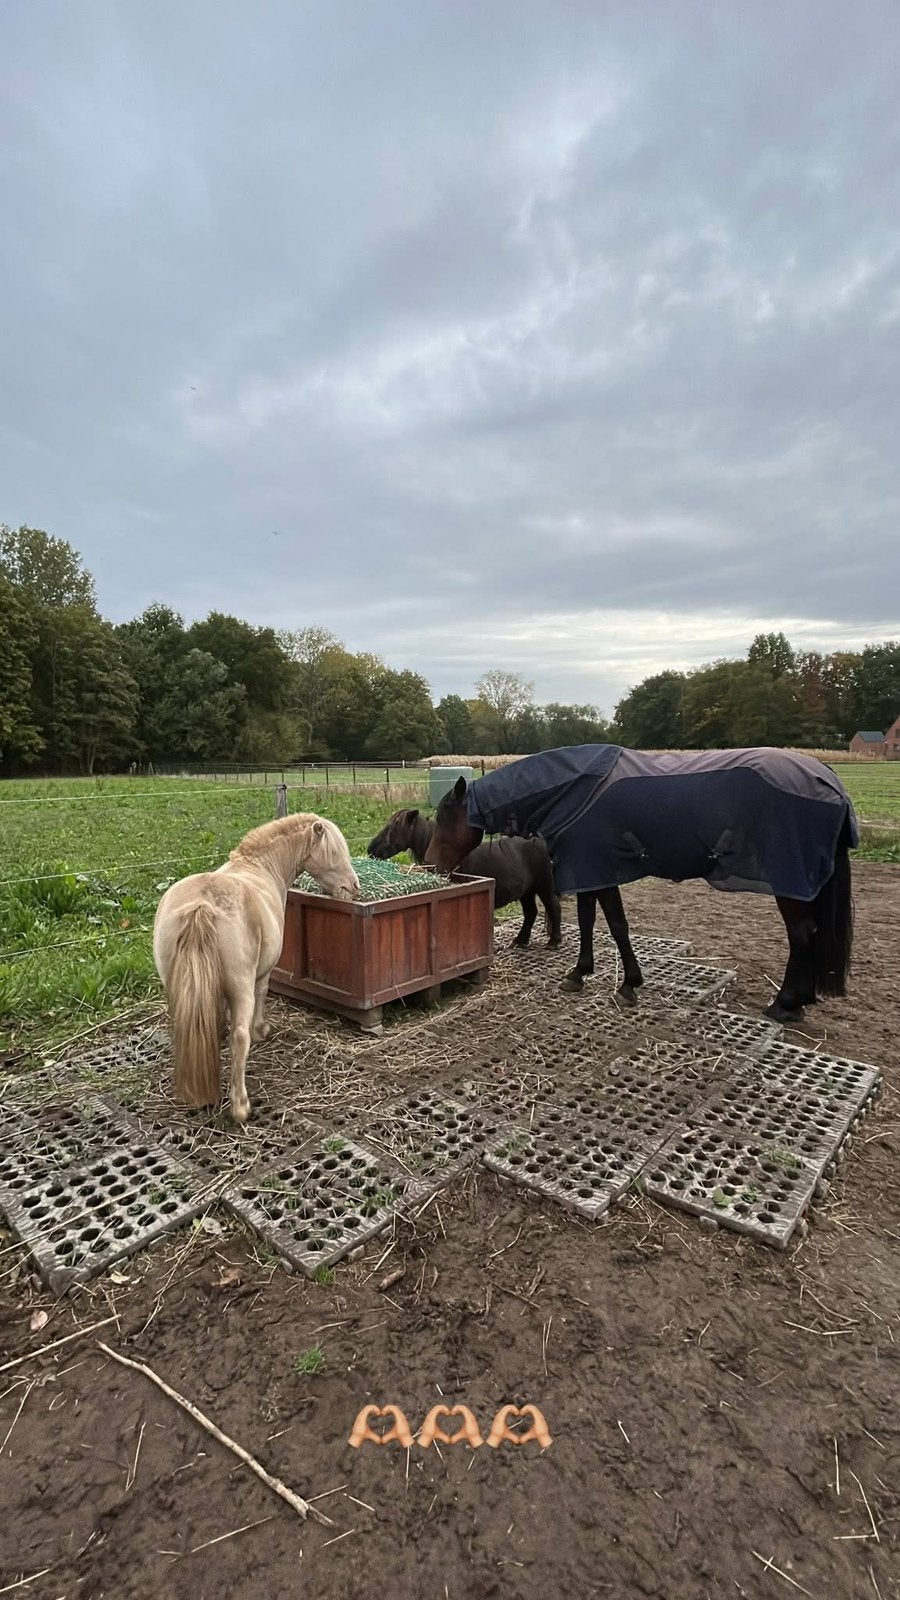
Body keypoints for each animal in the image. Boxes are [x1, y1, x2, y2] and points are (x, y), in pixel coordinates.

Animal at [153, 812, 360, 1123]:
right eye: (334, 852)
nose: (354, 886)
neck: (260, 867)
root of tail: (202, 906)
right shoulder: (262, 975)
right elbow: (262, 995)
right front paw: (261, 1029)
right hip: (241, 988)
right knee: (240, 1038)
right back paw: (240, 1106)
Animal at [367, 806, 562, 948]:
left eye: (394, 828)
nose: (371, 849)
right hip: (527, 891)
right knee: (531, 913)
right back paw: (520, 941)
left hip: (544, 886)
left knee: (554, 908)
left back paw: (553, 942)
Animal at [422, 744, 858, 1026]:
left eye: (444, 817)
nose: (429, 865)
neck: (575, 790)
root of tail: (826, 777)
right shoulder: (590, 872)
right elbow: (592, 921)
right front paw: (588, 974)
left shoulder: (596, 869)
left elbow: (614, 925)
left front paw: (621, 982)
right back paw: (798, 1001)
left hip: (791, 884)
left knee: (802, 934)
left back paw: (784, 1004)